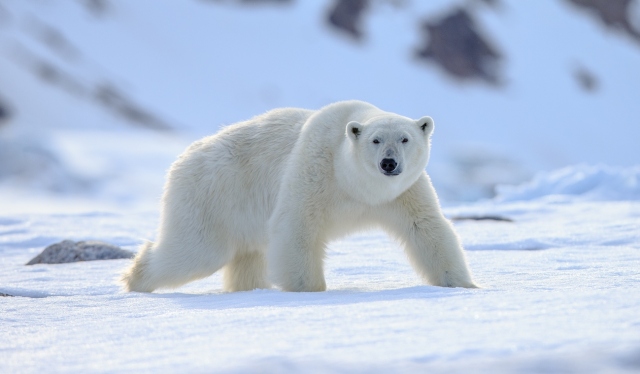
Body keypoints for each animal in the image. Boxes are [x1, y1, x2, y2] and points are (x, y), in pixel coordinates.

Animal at [121, 101, 476, 292]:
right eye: (375, 140)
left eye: (405, 138)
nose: (389, 163)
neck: (355, 185)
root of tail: (183, 158)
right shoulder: (315, 170)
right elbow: (297, 227)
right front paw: (310, 290)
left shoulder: (403, 193)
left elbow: (426, 228)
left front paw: (464, 285)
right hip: (212, 196)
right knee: (195, 251)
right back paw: (135, 278)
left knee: (247, 257)